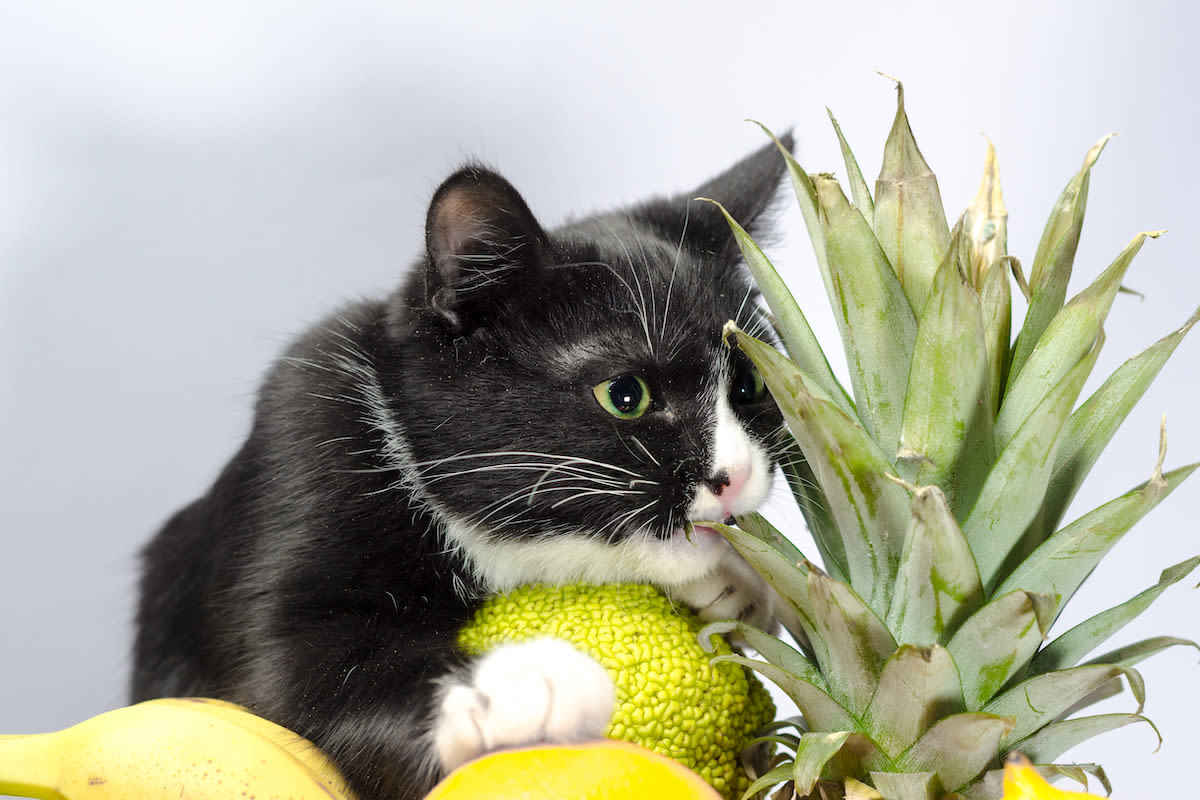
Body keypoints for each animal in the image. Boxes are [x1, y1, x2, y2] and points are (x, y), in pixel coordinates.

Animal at [131, 137, 792, 800]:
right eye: (625, 395)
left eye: (750, 385)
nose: (733, 477)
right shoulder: (302, 442)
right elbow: (288, 672)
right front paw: (519, 689)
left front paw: (736, 581)